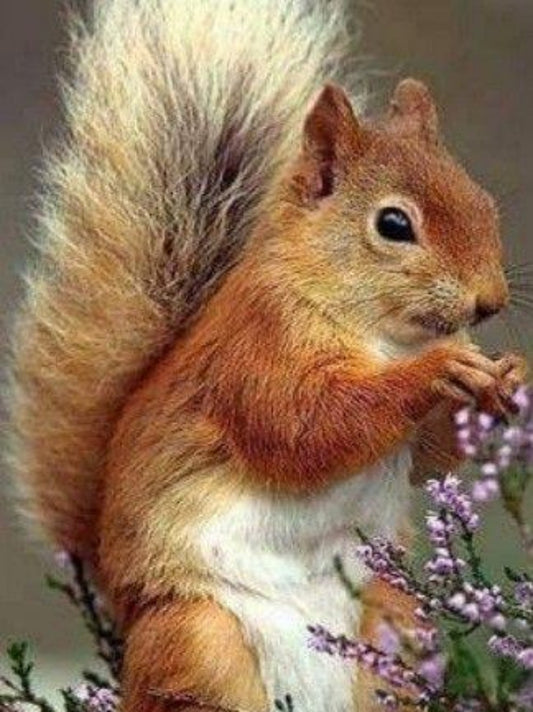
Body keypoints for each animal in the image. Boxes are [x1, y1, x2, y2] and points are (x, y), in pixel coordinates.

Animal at [6, 1, 527, 711]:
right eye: (393, 224)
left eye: (483, 202)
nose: (490, 302)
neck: (383, 334)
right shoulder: (256, 353)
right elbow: (303, 429)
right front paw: (435, 373)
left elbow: (431, 455)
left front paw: (510, 379)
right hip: (197, 638)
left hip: (390, 625)